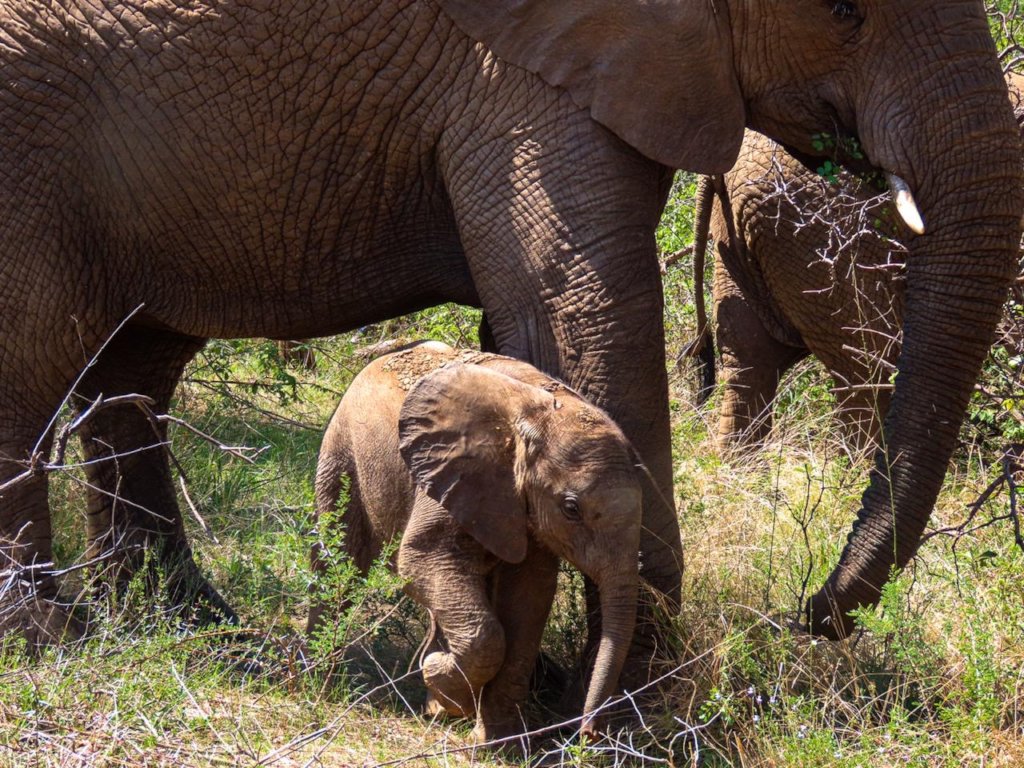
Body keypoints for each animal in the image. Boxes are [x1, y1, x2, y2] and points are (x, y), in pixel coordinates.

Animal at [307, 341, 642, 742]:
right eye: (571, 509)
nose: (588, 732)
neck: (542, 413)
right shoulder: (456, 473)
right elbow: (419, 560)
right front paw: (440, 677)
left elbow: (528, 596)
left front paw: (494, 742)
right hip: (342, 448)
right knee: (338, 558)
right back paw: (320, 678)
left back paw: (434, 704)